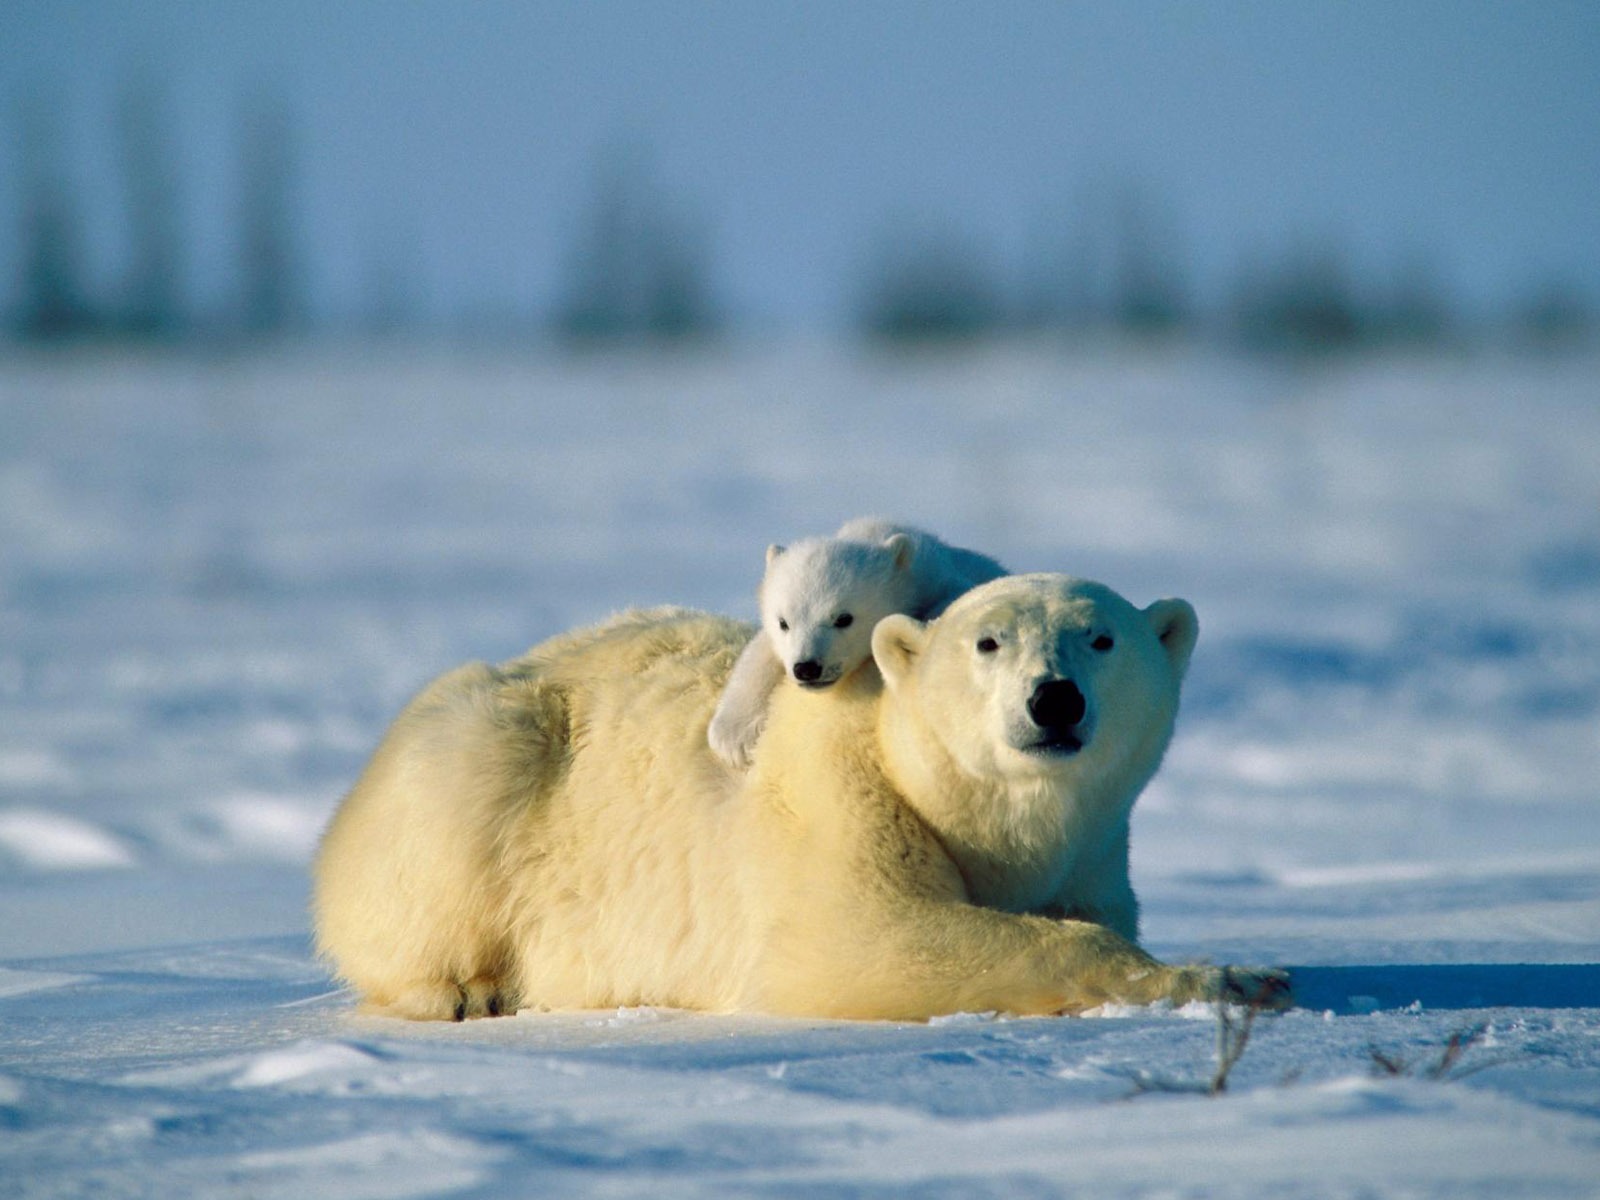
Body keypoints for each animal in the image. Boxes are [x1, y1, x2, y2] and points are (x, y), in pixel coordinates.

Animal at [312, 576, 1286, 1024]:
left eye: (1102, 636)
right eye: (989, 642)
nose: (1054, 699)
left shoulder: (1092, 851)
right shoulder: (838, 797)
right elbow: (867, 936)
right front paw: (1236, 975)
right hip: (484, 751)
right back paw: (466, 988)